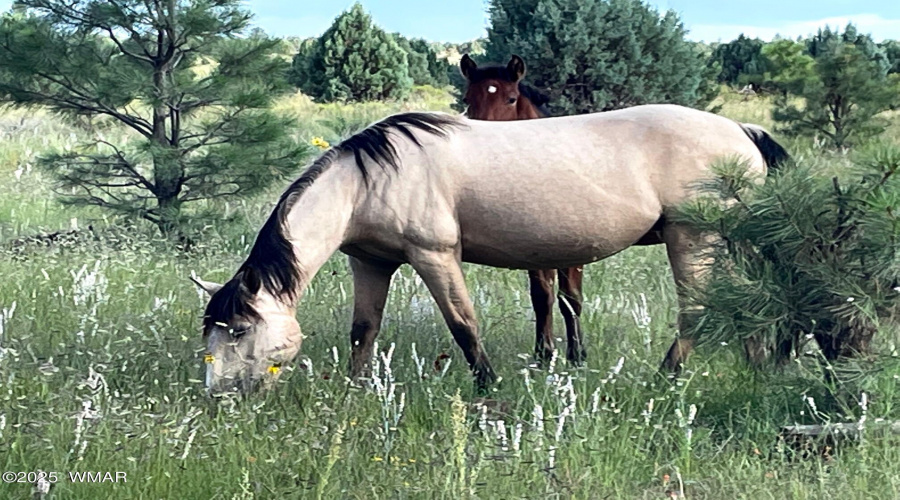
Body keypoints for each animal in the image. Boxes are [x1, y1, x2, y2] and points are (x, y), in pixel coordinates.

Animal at [192, 104, 788, 394]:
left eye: (239, 330)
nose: (219, 395)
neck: (369, 179)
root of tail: (742, 130)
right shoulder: (373, 262)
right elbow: (363, 330)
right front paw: (353, 390)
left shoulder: (434, 256)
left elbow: (463, 324)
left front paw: (488, 387)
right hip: (728, 241)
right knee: (749, 305)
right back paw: (758, 367)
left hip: (694, 237)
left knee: (696, 311)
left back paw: (665, 378)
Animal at [460, 54, 588, 366]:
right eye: (467, 98)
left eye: (511, 98)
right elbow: (542, 297)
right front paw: (544, 354)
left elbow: (571, 298)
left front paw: (577, 355)